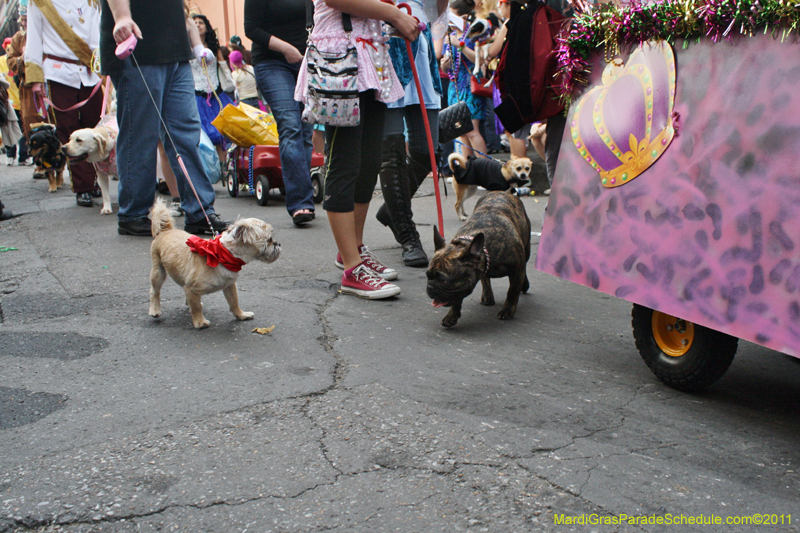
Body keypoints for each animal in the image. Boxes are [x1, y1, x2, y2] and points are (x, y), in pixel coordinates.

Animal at [148, 197, 282, 326]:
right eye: (269, 240)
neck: (223, 254)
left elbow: (234, 302)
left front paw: (241, 315)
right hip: (158, 272)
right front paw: (199, 321)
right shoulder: (191, 289)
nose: (278, 243)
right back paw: (155, 309)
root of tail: (166, 231)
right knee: (155, 291)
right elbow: (196, 308)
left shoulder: (229, 285)